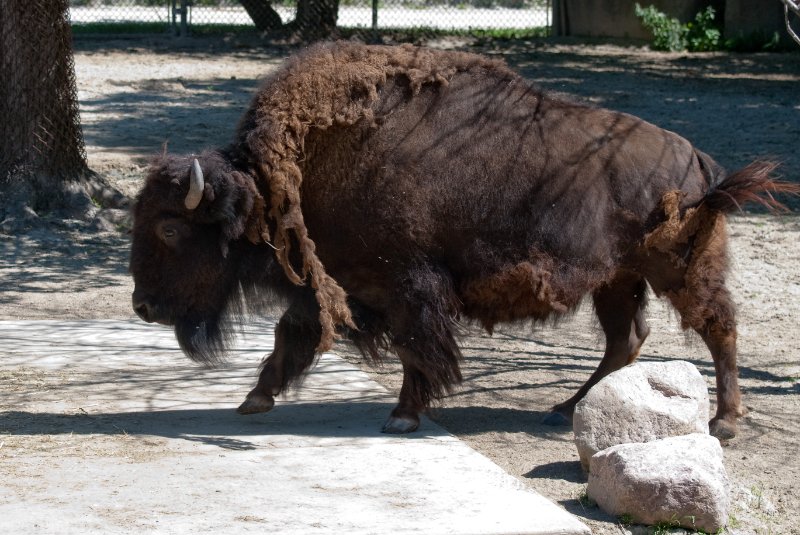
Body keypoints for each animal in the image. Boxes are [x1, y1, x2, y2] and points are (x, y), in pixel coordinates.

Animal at [130, 42, 798, 439]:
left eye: (169, 227)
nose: (142, 305)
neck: (278, 181)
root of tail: (696, 158)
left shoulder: (407, 285)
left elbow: (416, 348)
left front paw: (403, 416)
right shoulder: (338, 284)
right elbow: (291, 337)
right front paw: (255, 400)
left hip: (678, 269)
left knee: (717, 327)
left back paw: (725, 423)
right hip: (617, 280)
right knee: (626, 340)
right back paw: (563, 411)